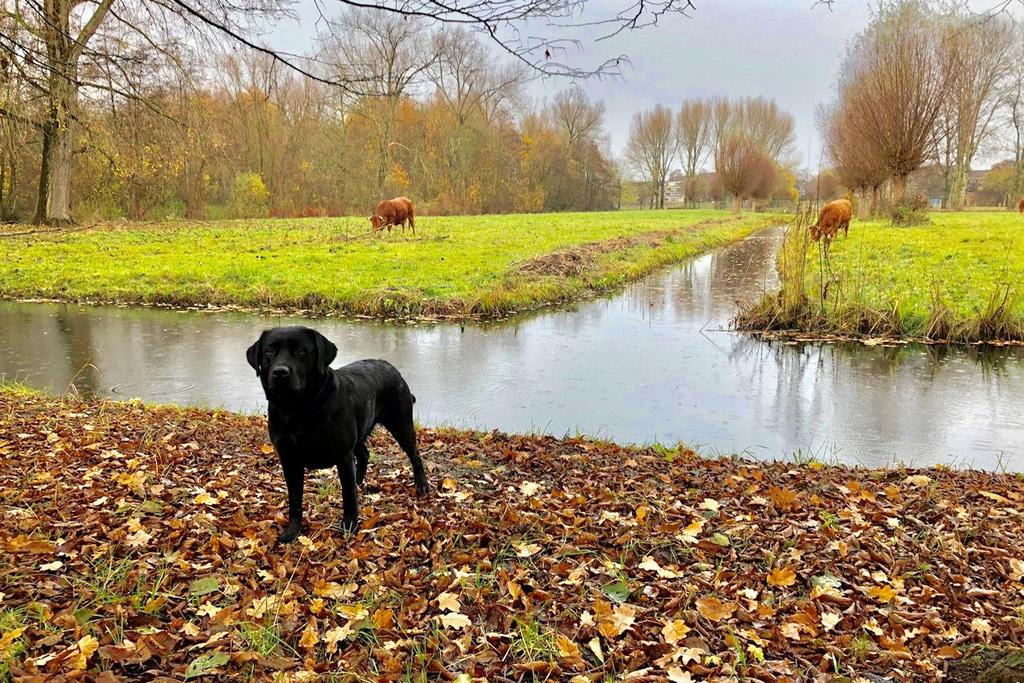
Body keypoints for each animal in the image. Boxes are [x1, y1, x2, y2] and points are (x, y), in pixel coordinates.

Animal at [245, 327, 425, 544]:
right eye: (269, 350)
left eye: (300, 351)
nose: (280, 372)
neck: (299, 410)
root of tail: (389, 365)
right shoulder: (289, 460)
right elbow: (295, 501)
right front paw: (292, 531)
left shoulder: (343, 455)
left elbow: (348, 496)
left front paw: (349, 526)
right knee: (364, 455)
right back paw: (359, 482)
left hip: (401, 424)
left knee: (415, 455)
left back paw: (422, 486)